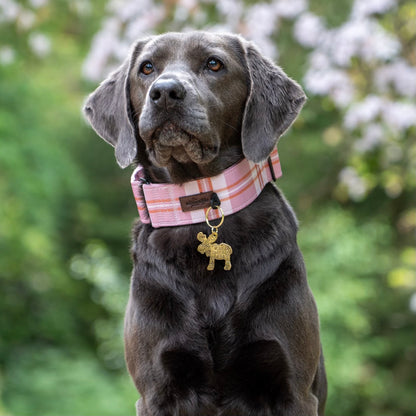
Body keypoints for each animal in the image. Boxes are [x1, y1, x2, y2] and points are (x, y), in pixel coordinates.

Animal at [83, 30, 326, 414]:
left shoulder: (294, 390)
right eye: (147, 68)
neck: (200, 200)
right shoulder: (157, 390)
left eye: (214, 64)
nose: (166, 92)